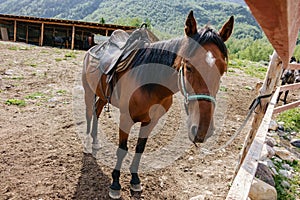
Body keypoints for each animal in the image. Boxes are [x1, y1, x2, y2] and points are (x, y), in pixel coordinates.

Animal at [82, 11, 234, 199]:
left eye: (223, 69)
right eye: (188, 67)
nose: (202, 129)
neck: (150, 82)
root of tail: (92, 49)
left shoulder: (151, 121)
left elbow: (140, 148)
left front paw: (135, 180)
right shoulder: (126, 119)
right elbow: (122, 149)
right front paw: (115, 184)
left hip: (103, 96)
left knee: (97, 112)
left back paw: (95, 141)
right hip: (88, 91)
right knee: (90, 114)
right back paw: (87, 144)